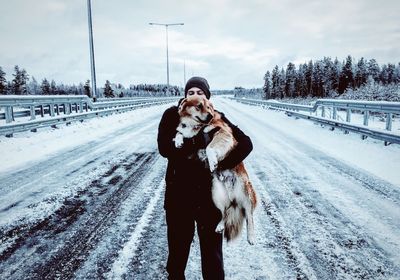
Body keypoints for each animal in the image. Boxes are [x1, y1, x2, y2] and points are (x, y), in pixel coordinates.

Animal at [174, 95, 256, 244]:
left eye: (209, 107)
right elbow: (180, 132)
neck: (196, 126)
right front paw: (178, 140)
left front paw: (212, 161)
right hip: (216, 195)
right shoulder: (188, 132)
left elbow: (209, 147)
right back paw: (220, 225)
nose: (210, 116)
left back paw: (251, 236)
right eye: (199, 106)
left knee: (249, 216)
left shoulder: (222, 132)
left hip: (245, 192)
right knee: (224, 212)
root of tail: (233, 196)